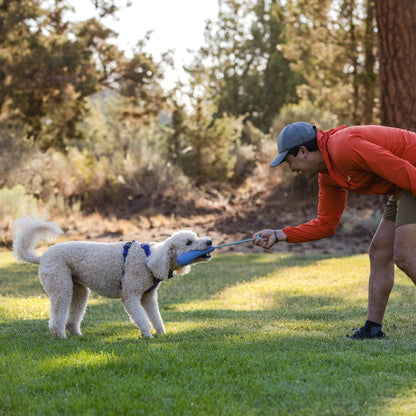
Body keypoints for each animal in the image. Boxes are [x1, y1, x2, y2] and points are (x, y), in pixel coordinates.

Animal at [12, 218, 211, 338]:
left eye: (196, 236)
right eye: (189, 242)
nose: (210, 241)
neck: (149, 258)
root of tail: (42, 257)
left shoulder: (148, 297)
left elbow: (156, 316)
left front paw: (161, 333)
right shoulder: (130, 295)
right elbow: (141, 317)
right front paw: (147, 335)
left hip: (79, 290)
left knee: (73, 315)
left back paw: (76, 334)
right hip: (60, 286)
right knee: (57, 315)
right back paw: (60, 335)